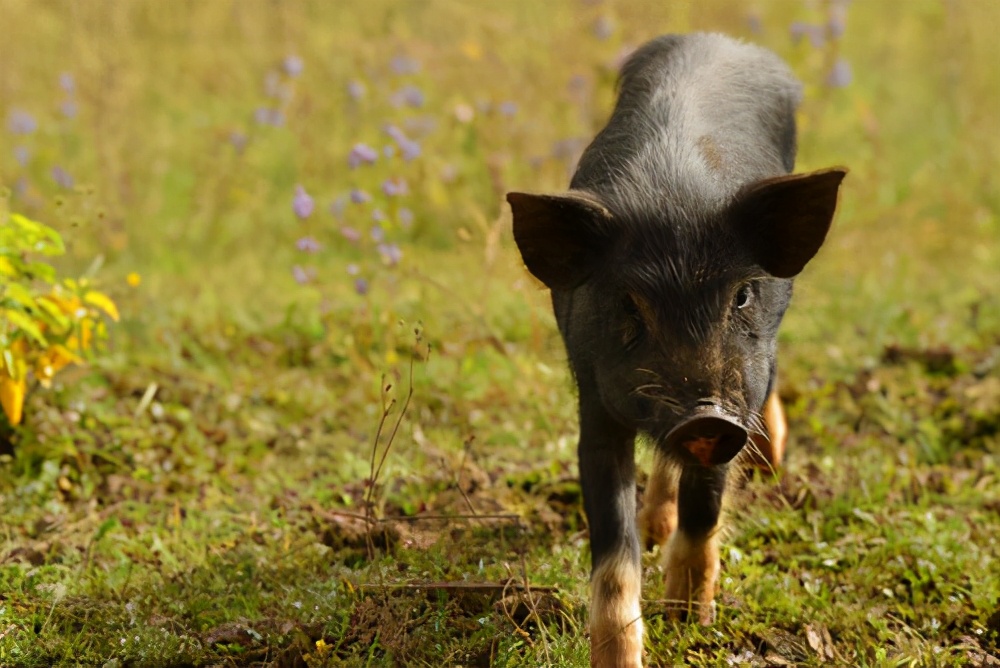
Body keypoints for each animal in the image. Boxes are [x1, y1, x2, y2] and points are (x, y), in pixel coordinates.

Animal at [508, 34, 844, 664]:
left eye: (741, 294)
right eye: (630, 305)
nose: (702, 416)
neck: (674, 200)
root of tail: (719, 39)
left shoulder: (737, 397)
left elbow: (707, 502)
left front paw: (690, 619)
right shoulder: (595, 399)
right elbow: (613, 549)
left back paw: (770, 460)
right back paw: (654, 523)